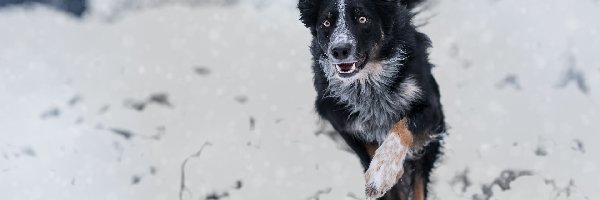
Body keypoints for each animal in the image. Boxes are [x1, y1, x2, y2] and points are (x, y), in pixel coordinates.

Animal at [296, 0, 446, 199]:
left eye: (362, 19)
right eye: (326, 23)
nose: (339, 50)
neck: (368, 84)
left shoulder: (432, 108)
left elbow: (401, 127)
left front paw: (382, 173)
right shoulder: (343, 122)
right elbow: (370, 151)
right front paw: (383, 173)